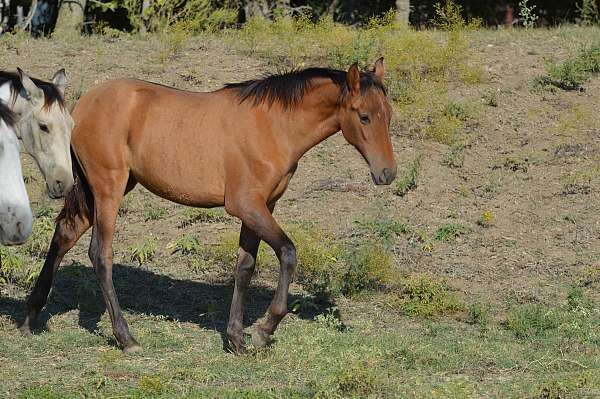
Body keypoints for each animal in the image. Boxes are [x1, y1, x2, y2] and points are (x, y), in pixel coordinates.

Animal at [22, 58, 398, 354]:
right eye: (364, 116)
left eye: (388, 115)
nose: (387, 173)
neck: (272, 125)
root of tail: (84, 104)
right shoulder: (246, 206)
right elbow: (288, 253)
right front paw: (263, 331)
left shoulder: (260, 208)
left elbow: (245, 268)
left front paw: (237, 339)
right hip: (108, 190)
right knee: (101, 255)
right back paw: (126, 338)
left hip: (103, 191)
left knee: (65, 233)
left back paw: (31, 316)